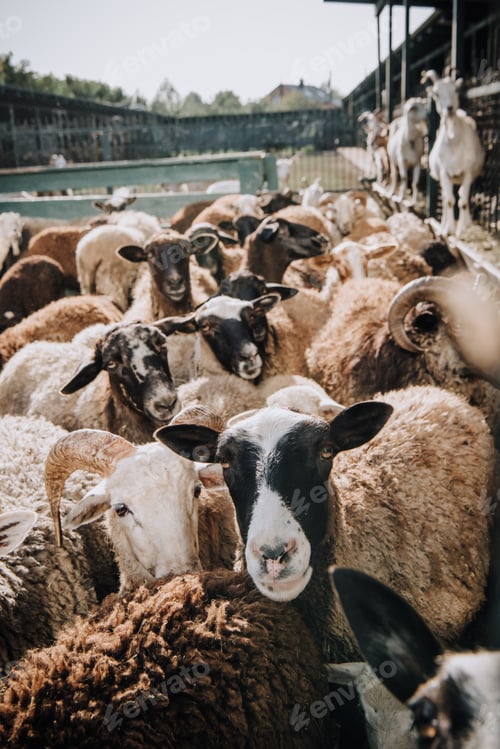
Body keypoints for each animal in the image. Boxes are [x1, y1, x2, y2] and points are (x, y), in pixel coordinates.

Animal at [422, 69, 485, 237]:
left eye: (455, 90)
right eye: (436, 93)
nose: (449, 108)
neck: (454, 142)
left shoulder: (467, 171)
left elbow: (462, 200)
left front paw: (461, 229)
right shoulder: (444, 172)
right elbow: (450, 200)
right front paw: (447, 230)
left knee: (463, 197)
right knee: (445, 199)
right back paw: (443, 224)